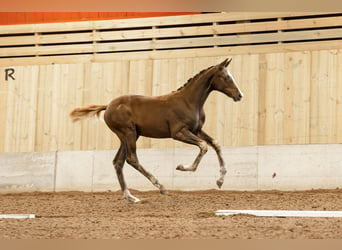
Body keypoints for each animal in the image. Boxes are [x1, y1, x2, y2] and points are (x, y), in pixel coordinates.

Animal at [70, 58, 243, 201]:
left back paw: (130, 196)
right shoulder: (178, 132)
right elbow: (204, 146)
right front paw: (182, 167)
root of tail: (108, 106)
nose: (239, 95)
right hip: (128, 133)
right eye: (226, 77)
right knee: (131, 159)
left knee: (118, 162)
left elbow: (215, 144)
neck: (189, 101)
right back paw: (161, 187)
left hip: (129, 136)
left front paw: (220, 180)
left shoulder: (197, 130)